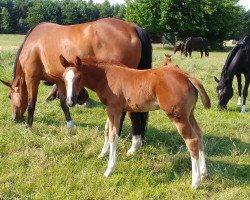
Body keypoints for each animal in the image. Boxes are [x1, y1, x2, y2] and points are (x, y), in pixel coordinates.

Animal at [0, 18, 152, 155]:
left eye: (9, 96)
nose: (15, 118)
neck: (32, 43)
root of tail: (133, 27)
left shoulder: (32, 78)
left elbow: (31, 104)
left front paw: (28, 128)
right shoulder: (60, 81)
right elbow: (64, 104)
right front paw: (70, 128)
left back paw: (126, 142)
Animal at [61, 55, 211, 189]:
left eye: (79, 77)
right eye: (63, 78)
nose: (70, 102)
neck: (105, 76)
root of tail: (187, 76)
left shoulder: (115, 109)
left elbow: (113, 135)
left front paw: (109, 170)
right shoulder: (110, 109)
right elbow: (107, 130)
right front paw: (102, 154)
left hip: (178, 117)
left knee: (192, 140)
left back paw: (195, 182)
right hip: (189, 114)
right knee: (199, 134)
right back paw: (204, 173)